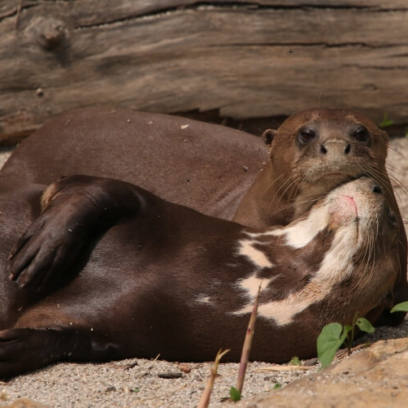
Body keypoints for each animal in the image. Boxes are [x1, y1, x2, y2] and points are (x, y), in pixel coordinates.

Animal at [0, 177, 398, 378]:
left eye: (394, 219)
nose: (375, 184)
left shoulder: (122, 331)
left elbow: (66, 338)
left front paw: (11, 348)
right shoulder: (159, 207)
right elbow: (91, 189)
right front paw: (46, 245)